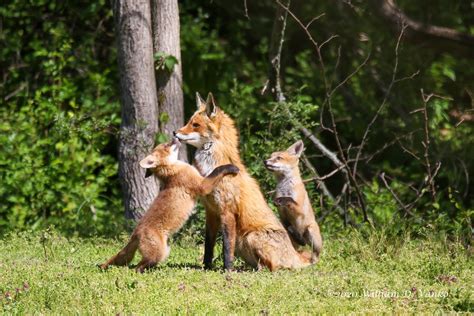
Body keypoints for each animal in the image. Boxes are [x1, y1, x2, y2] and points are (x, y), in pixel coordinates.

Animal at [101, 138, 239, 272]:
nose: (175, 137)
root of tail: (136, 233)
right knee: (137, 267)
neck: (172, 171)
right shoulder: (202, 185)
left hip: (164, 251)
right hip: (160, 253)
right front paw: (231, 167)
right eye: (166, 145)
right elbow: (217, 170)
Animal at [174, 94, 312, 272]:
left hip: (250, 237)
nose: (174, 132)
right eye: (189, 122)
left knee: (273, 268)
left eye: (195, 125)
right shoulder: (211, 211)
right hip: (242, 244)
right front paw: (206, 267)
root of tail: (295, 254)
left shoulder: (227, 211)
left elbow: (227, 247)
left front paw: (227, 270)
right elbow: (208, 245)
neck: (212, 171)